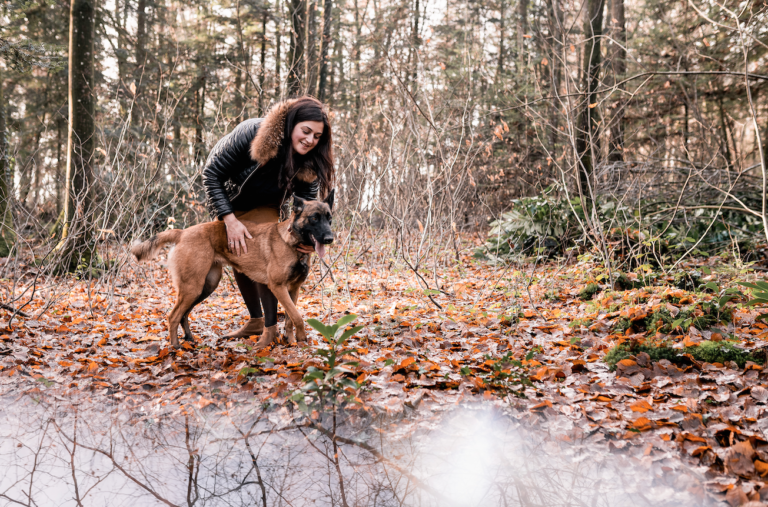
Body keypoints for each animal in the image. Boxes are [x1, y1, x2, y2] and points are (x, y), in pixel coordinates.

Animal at [131, 190, 332, 350]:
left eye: (329, 218)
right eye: (314, 218)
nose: (330, 238)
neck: (292, 242)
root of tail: (182, 233)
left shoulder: (294, 289)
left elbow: (291, 317)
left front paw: (291, 340)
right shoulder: (278, 287)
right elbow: (297, 316)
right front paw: (301, 338)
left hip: (204, 287)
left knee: (183, 314)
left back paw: (189, 339)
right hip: (192, 287)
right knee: (173, 316)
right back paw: (175, 347)